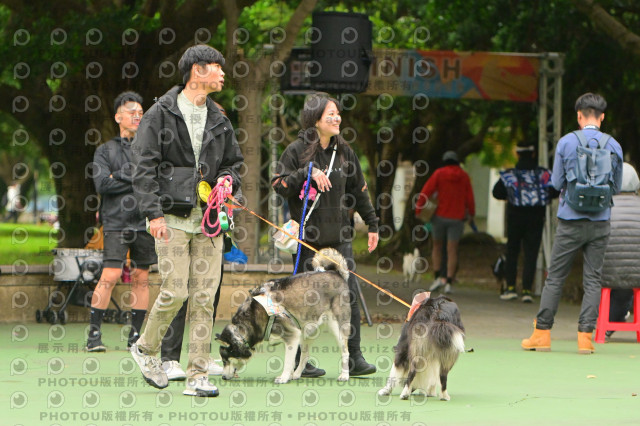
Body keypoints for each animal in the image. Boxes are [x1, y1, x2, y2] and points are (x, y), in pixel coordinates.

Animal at [216, 248, 351, 384]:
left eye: (225, 360)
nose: (223, 377)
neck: (253, 317)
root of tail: (336, 273)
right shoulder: (294, 337)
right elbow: (291, 361)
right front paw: (289, 376)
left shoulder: (292, 335)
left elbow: (287, 362)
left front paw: (284, 377)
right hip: (307, 331)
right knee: (305, 355)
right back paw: (296, 374)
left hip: (337, 328)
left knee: (345, 352)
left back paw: (344, 375)